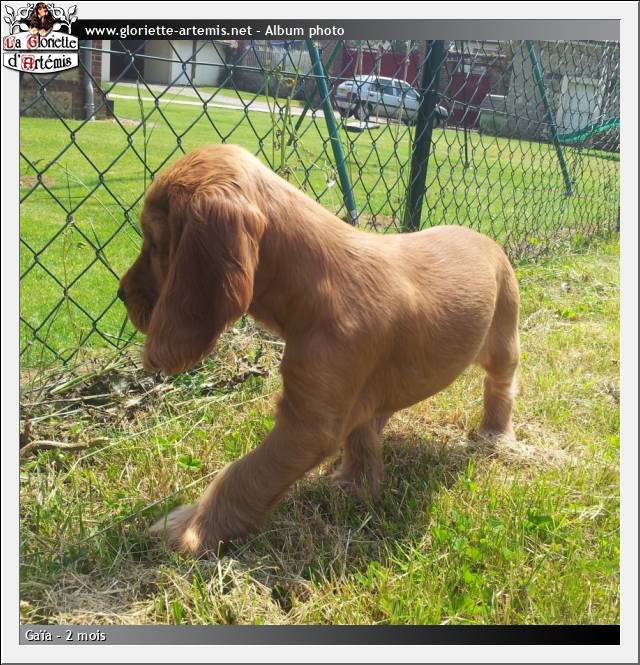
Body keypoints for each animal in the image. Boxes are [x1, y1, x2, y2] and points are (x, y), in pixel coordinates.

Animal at [118, 144, 520, 556]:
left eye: (154, 242)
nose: (120, 294)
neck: (315, 280)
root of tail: (488, 239)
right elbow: (359, 435)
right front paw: (358, 484)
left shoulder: (309, 425)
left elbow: (245, 473)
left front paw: (191, 529)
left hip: (504, 339)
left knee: (501, 386)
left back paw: (496, 435)